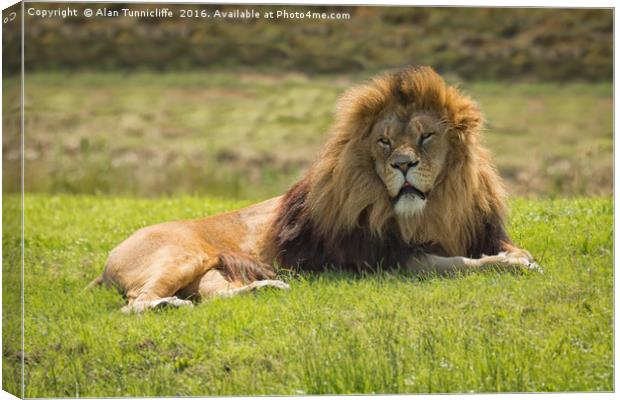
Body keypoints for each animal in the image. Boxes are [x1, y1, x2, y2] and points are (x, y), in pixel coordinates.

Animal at [89, 67, 540, 314]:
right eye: (384, 143)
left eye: (425, 137)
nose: (403, 165)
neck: (435, 207)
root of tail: (109, 258)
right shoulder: (389, 259)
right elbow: (457, 264)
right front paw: (512, 265)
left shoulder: (481, 228)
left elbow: (506, 248)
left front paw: (520, 257)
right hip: (181, 256)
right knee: (133, 305)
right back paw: (167, 305)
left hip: (211, 271)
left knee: (213, 298)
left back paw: (266, 290)